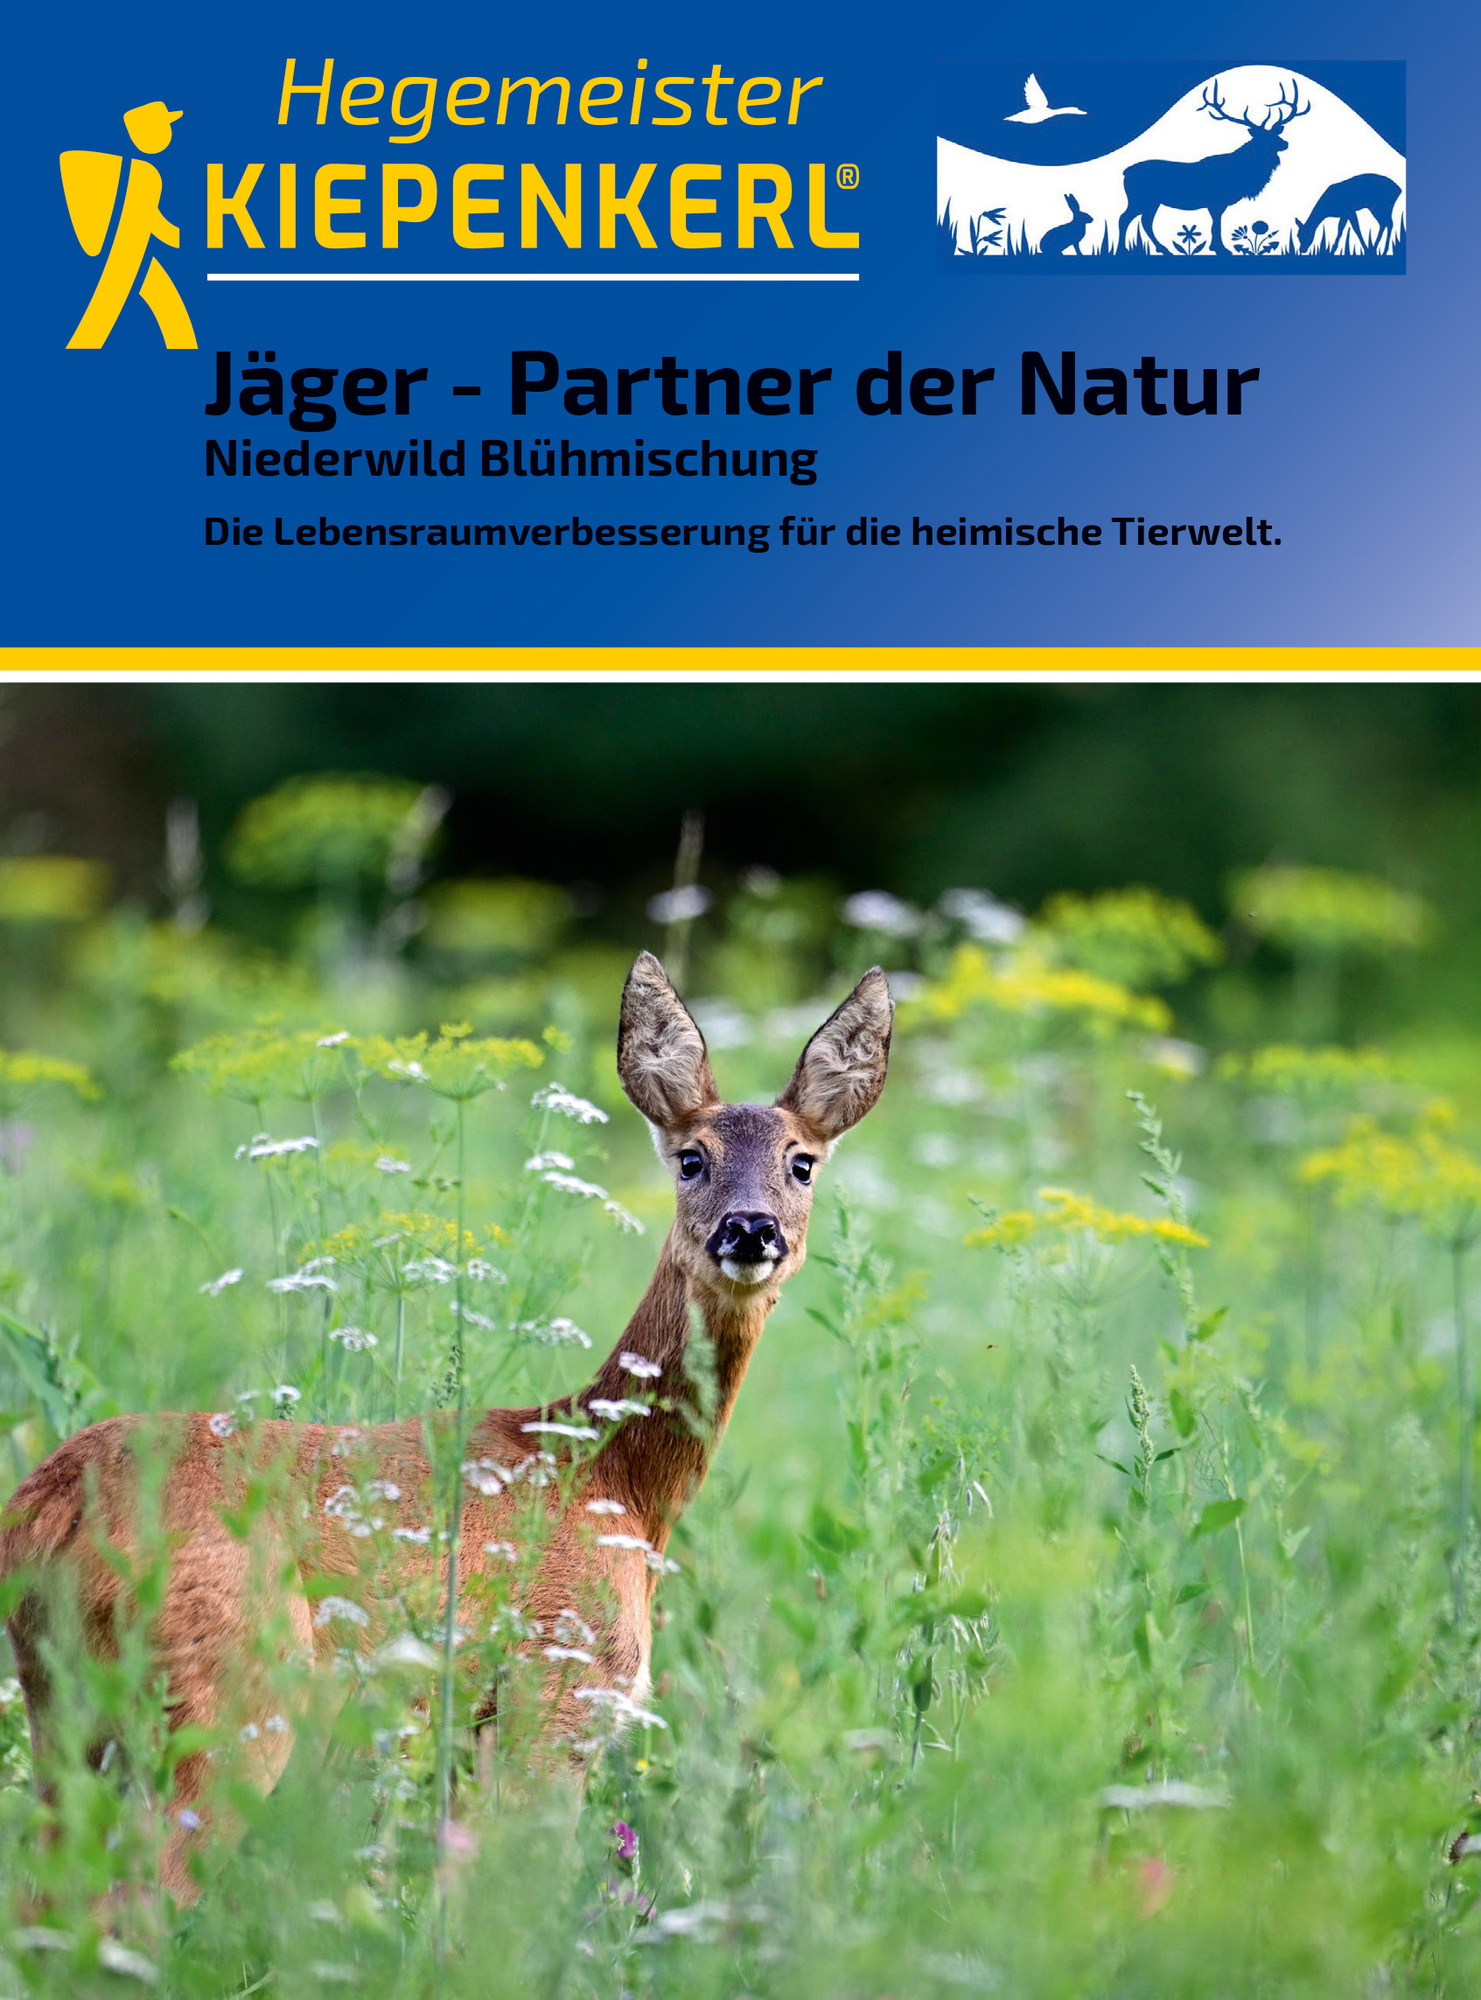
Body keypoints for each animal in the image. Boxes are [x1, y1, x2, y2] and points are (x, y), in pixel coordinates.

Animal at [0, 953, 893, 1904]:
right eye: (692, 1158)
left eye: (802, 1164)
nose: (749, 1228)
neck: (613, 1483)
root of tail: (47, 1506)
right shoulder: (552, 1688)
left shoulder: (468, 1733)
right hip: (227, 1692)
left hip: (67, 1710)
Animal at [1118, 76, 1309, 257]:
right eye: (1262, 138)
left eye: (1274, 134)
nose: (1285, 143)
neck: (1245, 174)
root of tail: (1125, 172)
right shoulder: (1216, 201)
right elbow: (1216, 224)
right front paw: (1221, 249)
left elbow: (1214, 224)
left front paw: (1216, 247)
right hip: (1140, 199)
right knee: (1124, 218)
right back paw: (1122, 249)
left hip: (1152, 202)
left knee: (1145, 222)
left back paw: (1163, 249)